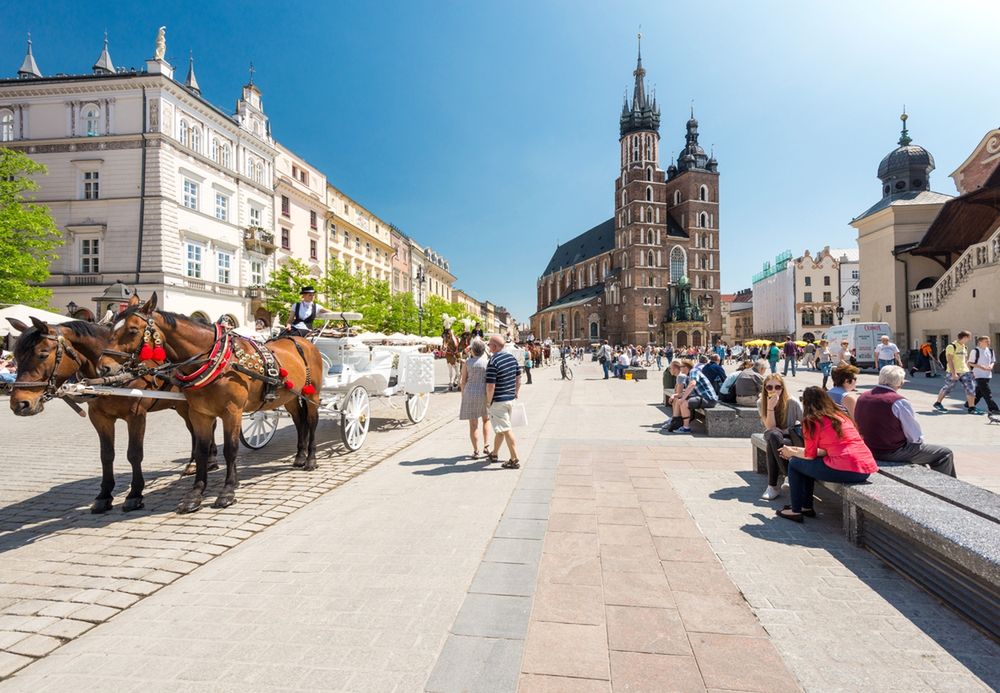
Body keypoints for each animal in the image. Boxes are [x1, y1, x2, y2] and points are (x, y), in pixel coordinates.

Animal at [7, 314, 215, 512]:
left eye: (42, 354)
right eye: (16, 355)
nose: (20, 404)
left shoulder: (136, 415)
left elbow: (134, 454)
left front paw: (134, 494)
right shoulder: (99, 417)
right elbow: (106, 455)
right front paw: (104, 495)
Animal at [99, 292, 324, 512]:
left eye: (132, 330)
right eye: (111, 327)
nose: (103, 367)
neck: (216, 359)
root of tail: (303, 341)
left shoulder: (232, 412)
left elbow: (230, 449)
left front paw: (227, 491)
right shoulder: (200, 413)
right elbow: (201, 450)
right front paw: (195, 495)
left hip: (312, 395)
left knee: (312, 422)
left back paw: (311, 460)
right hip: (290, 397)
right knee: (299, 421)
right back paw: (300, 456)